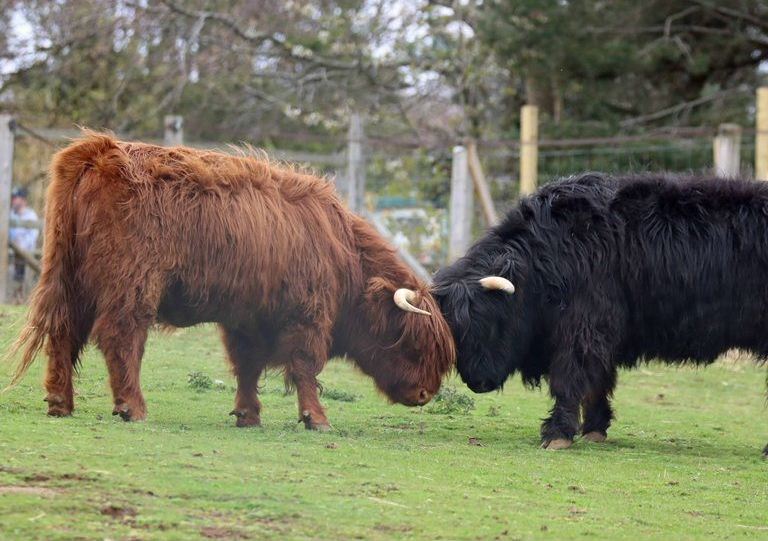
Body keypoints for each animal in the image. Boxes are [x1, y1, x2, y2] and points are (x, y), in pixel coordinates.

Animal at [10, 132, 455, 429]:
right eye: (413, 342)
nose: (424, 394)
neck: (340, 251)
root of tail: (99, 149)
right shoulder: (308, 315)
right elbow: (304, 366)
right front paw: (316, 418)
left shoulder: (249, 317)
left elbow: (248, 364)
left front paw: (248, 415)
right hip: (132, 284)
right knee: (122, 337)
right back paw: (131, 407)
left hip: (69, 279)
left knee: (64, 332)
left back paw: (60, 402)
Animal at [433, 172, 768, 454]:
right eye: (455, 331)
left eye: (489, 322)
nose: (476, 382)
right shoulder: (601, 334)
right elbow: (597, 381)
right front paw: (594, 429)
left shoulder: (583, 328)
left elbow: (570, 378)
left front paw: (557, 434)